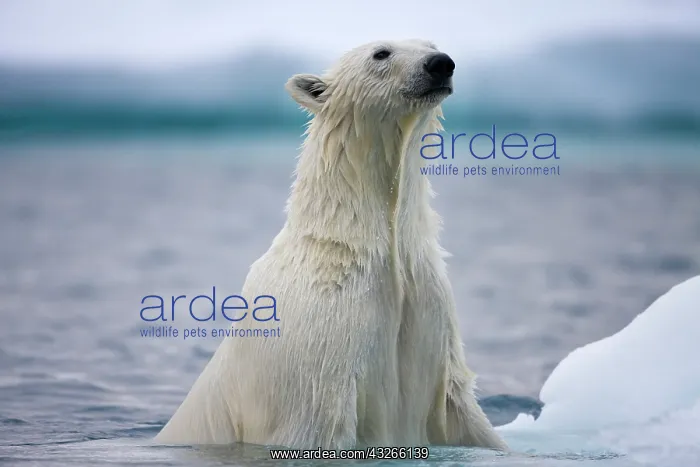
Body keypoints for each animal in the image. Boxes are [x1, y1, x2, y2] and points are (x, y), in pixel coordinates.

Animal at [155, 39, 507, 452]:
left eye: (431, 44)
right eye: (381, 53)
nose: (440, 64)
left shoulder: (429, 313)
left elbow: (463, 411)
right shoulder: (317, 347)